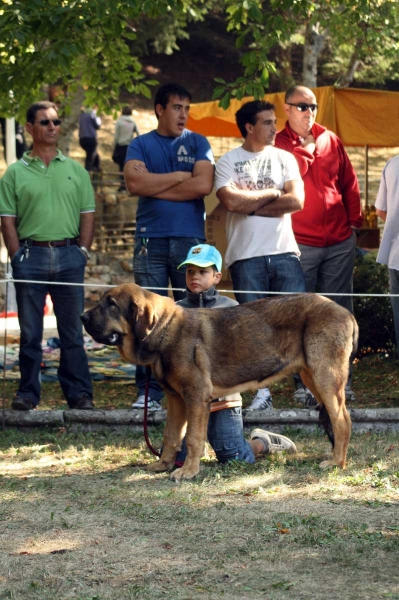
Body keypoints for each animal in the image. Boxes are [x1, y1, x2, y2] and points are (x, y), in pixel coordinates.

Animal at [82, 284, 360, 480]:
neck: (164, 329)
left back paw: (336, 462)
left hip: (325, 377)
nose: (83, 318)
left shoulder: (195, 397)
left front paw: (188, 471)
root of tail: (346, 312)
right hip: (311, 376)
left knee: (342, 420)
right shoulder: (176, 400)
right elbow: (171, 436)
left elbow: (192, 438)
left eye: (111, 304)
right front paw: (163, 464)